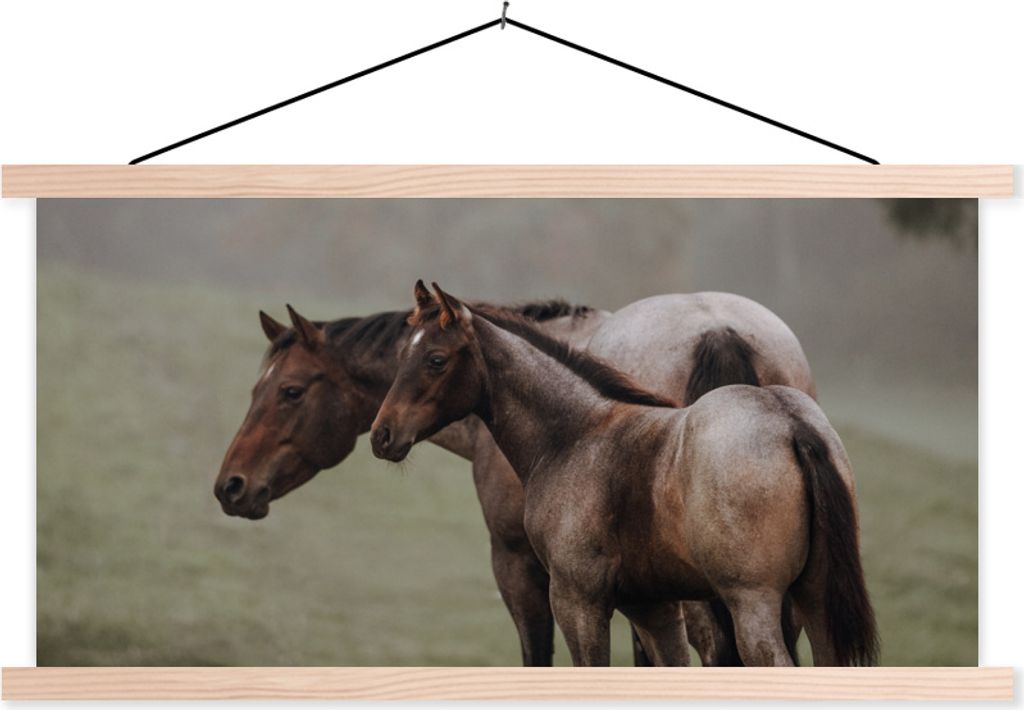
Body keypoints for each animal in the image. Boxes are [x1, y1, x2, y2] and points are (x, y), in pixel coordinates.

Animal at [370, 282, 878, 667]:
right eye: (401, 355)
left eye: (435, 359)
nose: (382, 435)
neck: (576, 434)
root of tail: (791, 424)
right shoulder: (652, 607)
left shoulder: (576, 599)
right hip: (814, 599)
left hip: (752, 602)